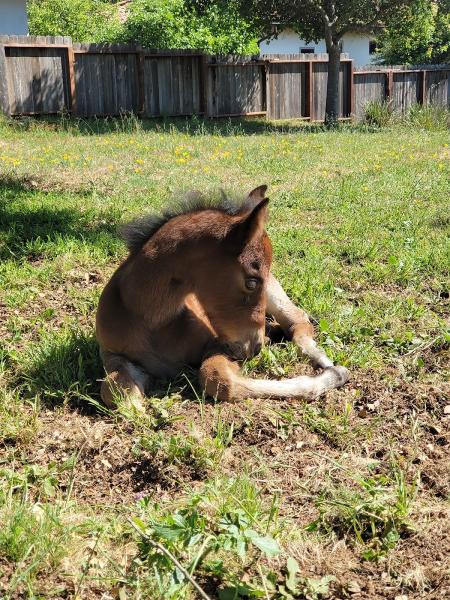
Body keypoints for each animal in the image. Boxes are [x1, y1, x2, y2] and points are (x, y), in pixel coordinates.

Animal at [96, 185, 348, 406]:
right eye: (251, 281)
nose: (255, 348)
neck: (149, 318)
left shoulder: (220, 345)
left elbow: (216, 379)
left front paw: (332, 376)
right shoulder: (112, 355)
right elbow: (114, 391)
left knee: (298, 322)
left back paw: (326, 363)